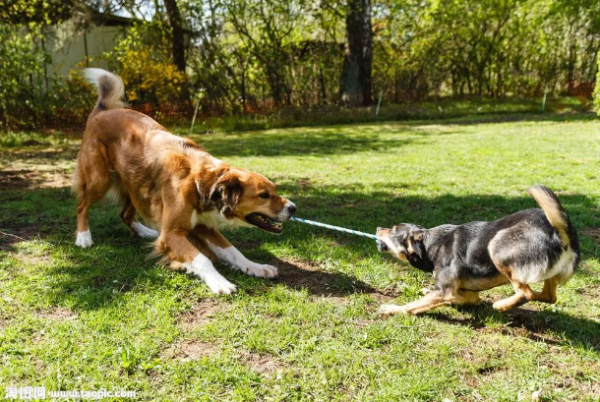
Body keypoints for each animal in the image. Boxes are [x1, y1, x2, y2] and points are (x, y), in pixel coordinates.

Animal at [74, 69, 296, 294]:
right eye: (264, 195)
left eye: (274, 190)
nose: (293, 208)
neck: (203, 182)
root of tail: (101, 112)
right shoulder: (172, 234)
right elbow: (203, 259)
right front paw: (220, 282)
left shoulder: (204, 227)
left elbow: (232, 250)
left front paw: (255, 267)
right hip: (100, 179)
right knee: (82, 206)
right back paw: (83, 237)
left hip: (134, 184)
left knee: (125, 214)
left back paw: (145, 231)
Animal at [378, 187, 580, 316]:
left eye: (393, 229)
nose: (379, 228)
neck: (430, 244)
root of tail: (561, 233)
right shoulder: (466, 294)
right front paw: (427, 291)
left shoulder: (446, 292)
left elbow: (412, 306)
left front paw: (393, 309)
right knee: (549, 297)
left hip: (497, 247)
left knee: (526, 293)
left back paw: (501, 305)